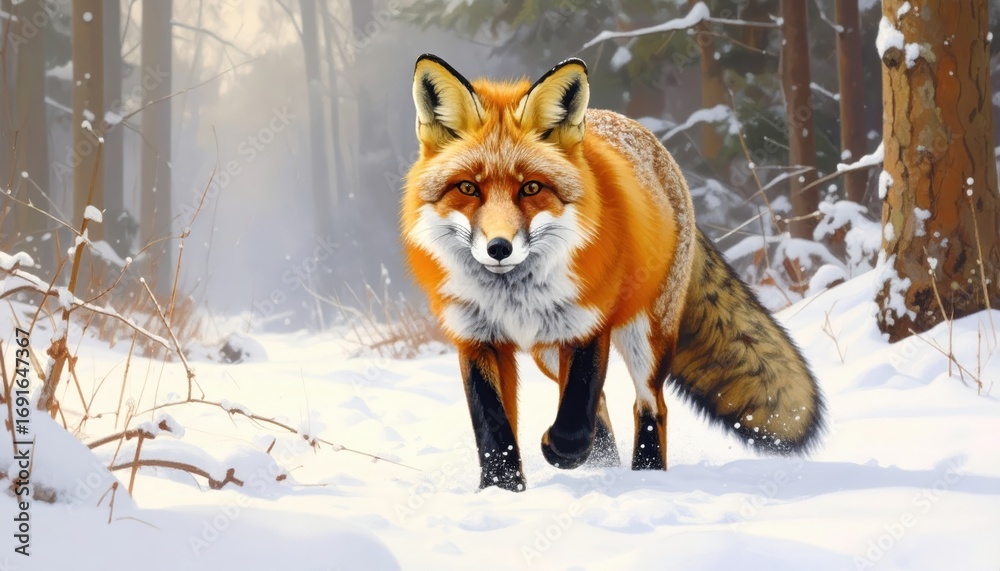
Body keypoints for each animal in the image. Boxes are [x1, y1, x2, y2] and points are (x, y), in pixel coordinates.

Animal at [401, 54, 824, 492]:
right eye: (468, 188)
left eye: (531, 188)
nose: (498, 248)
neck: (512, 298)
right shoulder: (476, 338)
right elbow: (493, 428)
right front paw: (501, 490)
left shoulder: (588, 324)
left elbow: (575, 416)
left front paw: (560, 452)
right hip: (547, 351)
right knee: (600, 402)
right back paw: (604, 462)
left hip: (645, 335)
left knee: (650, 404)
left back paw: (645, 473)